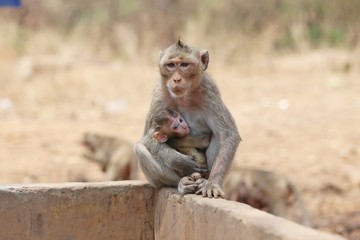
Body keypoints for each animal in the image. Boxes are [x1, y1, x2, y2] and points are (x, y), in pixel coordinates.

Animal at [134, 39, 240, 198]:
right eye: (171, 65)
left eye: (184, 65)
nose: (176, 79)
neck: (184, 96)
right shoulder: (159, 93)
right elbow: (147, 137)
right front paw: (179, 161)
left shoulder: (210, 91)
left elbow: (228, 135)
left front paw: (213, 184)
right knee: (140, 148)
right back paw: (181, 184)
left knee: (217, 135)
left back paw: (204, 181)